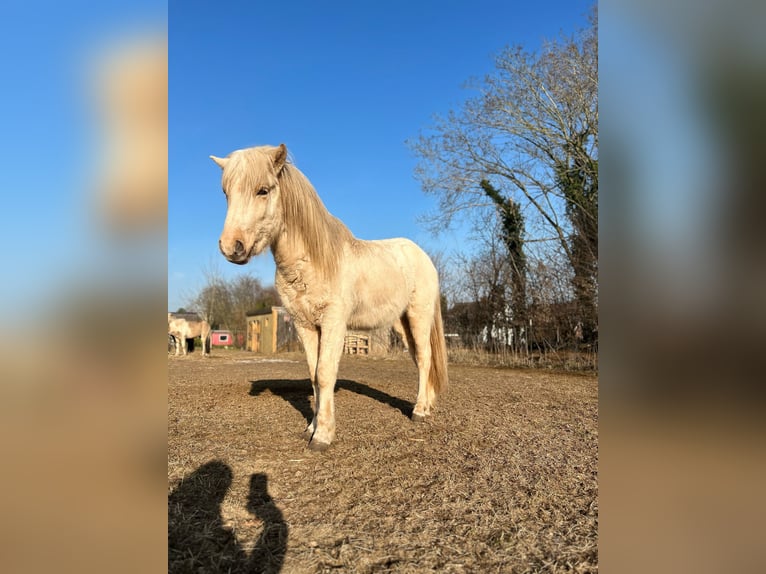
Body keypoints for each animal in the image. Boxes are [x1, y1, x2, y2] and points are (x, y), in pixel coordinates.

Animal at [210, 144, 448, 451]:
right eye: (226, 192)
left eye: (263, 190)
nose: (231, 247)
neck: (313, 260)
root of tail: (424, 257)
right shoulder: (305, 325)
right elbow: (313, 375)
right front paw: (311, 428)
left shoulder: (334, 323)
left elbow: (325, 374)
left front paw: (323, 436)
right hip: (402, 323)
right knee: (421, 361)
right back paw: (427, 405)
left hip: (418, 317)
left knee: (424, 359)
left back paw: (419, 411)